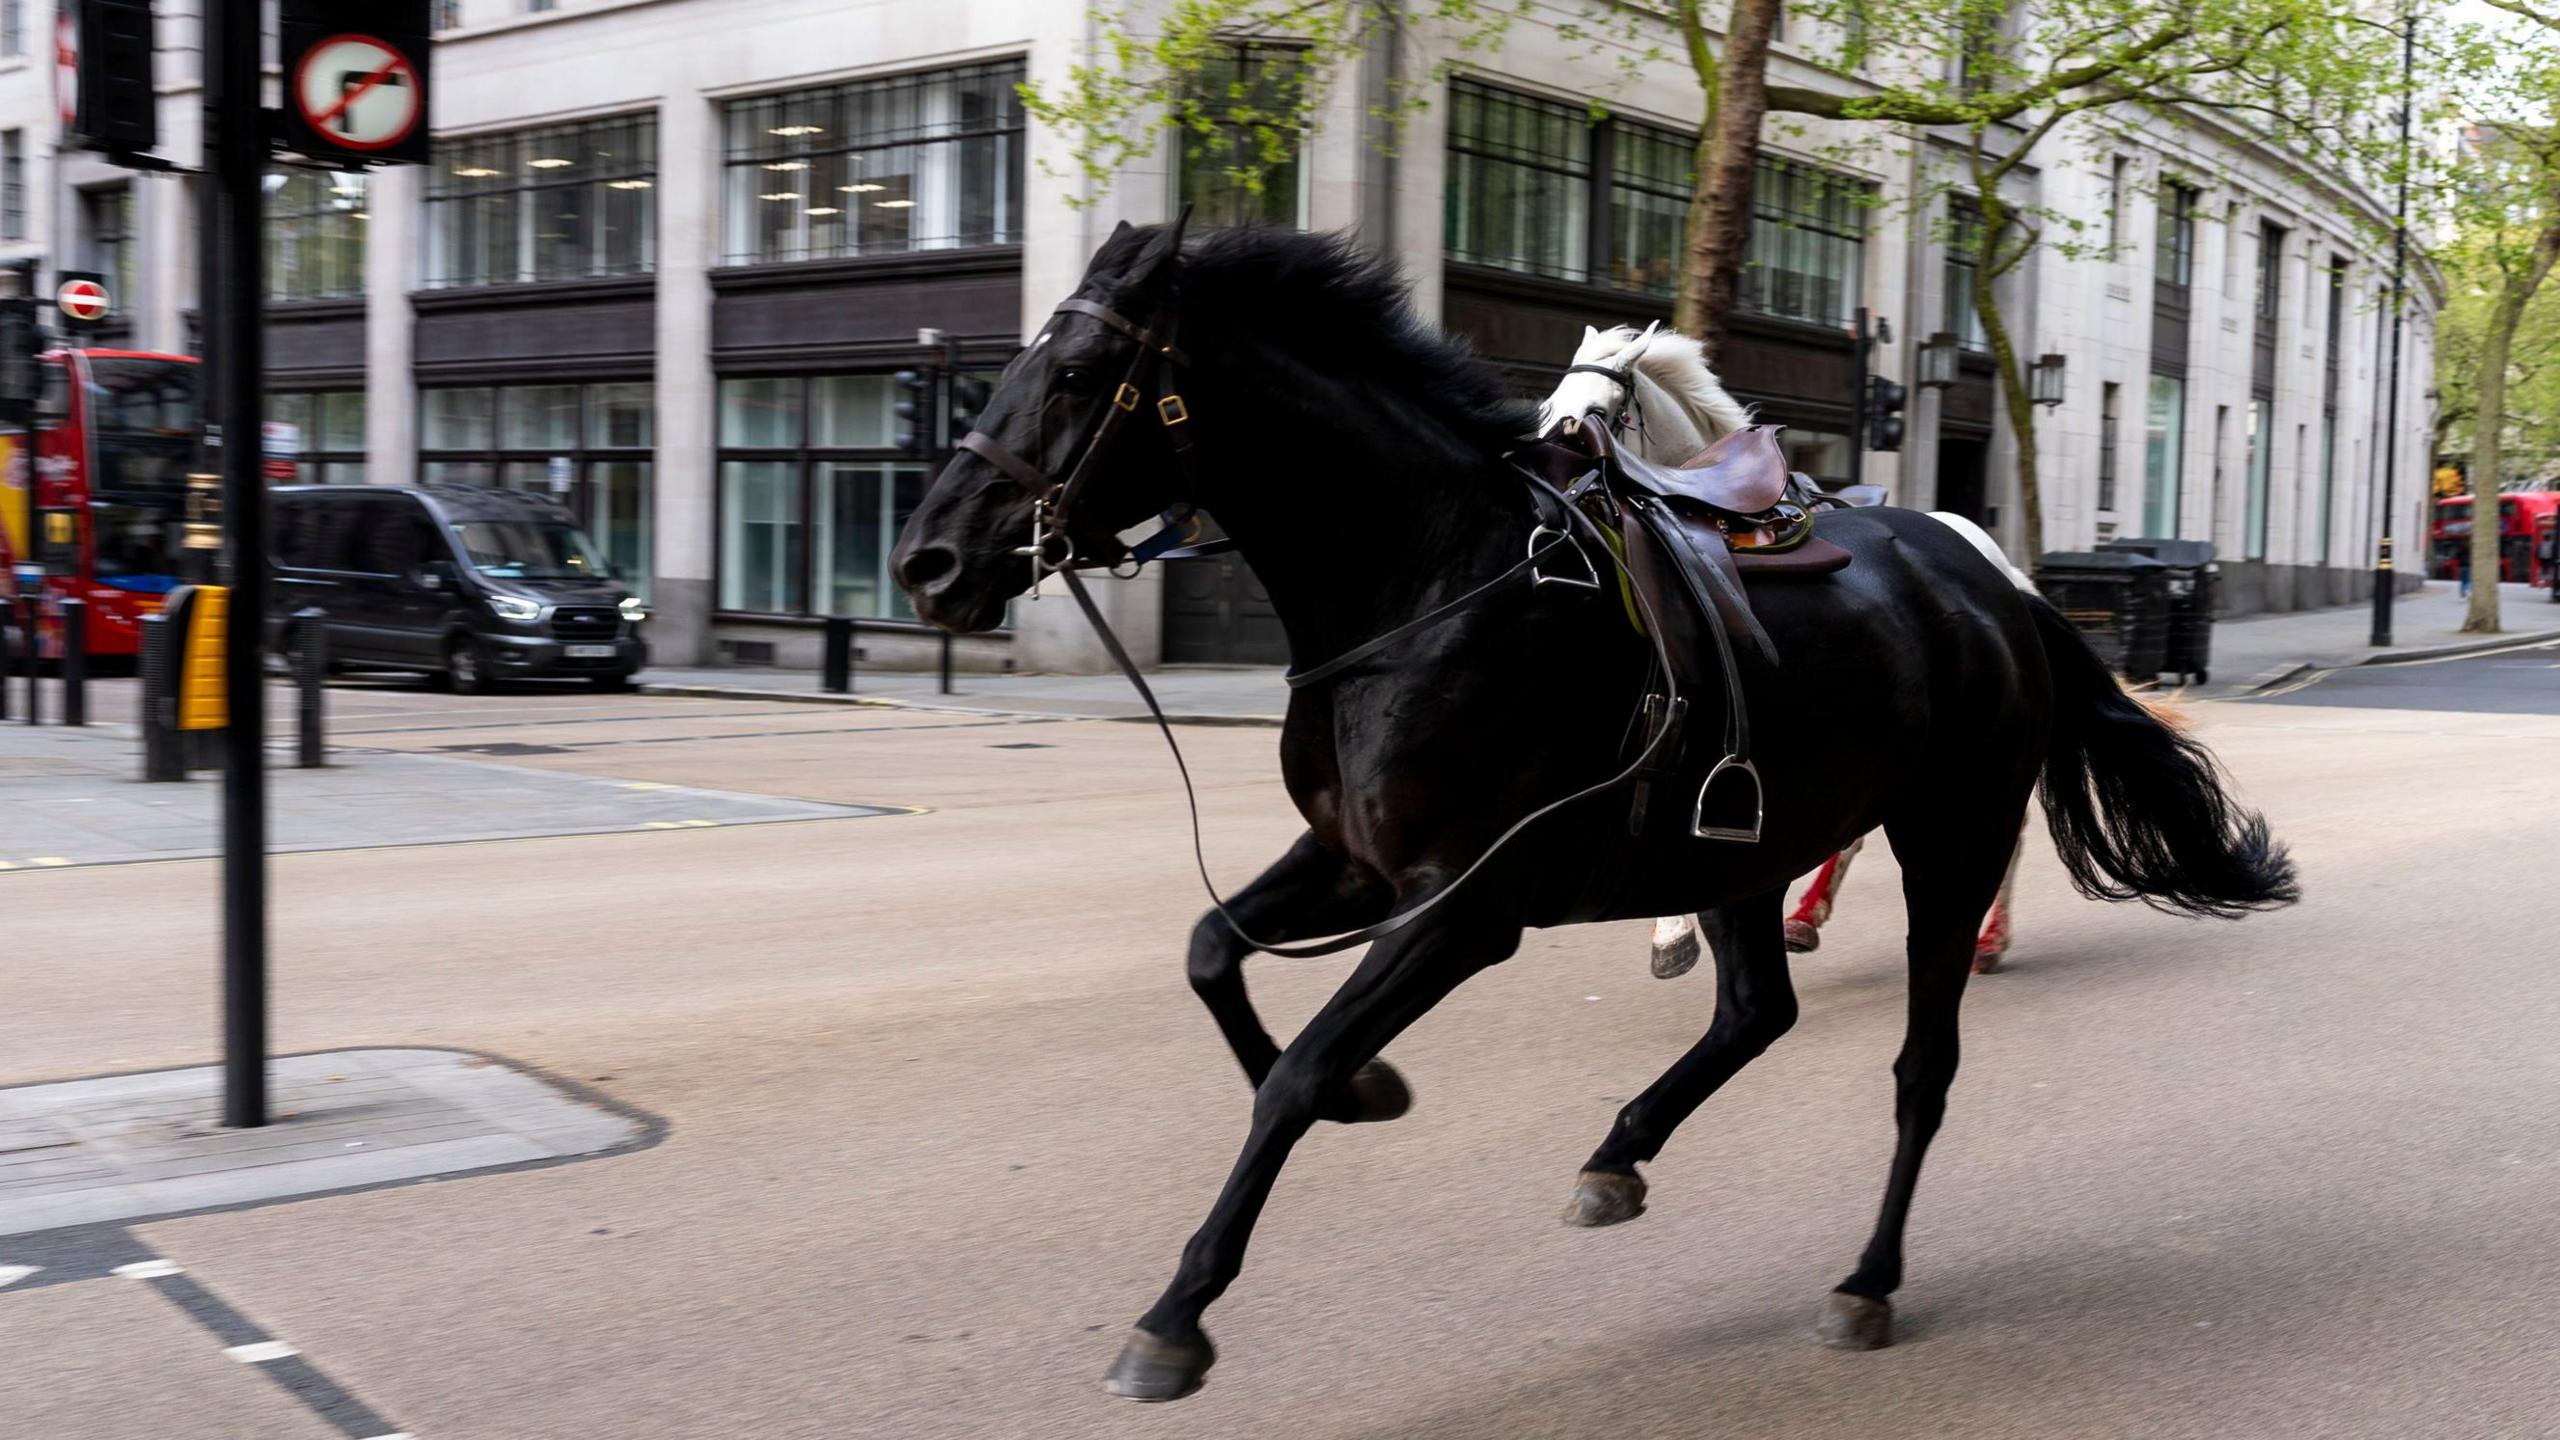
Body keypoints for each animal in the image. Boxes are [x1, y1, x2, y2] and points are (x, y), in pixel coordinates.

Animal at [1546, 325, 2027, 973]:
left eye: (1596, 414)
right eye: (1550, 403)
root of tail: (1995, 557)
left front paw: (1674, 931)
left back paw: (1989, 937)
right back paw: (1806, 916)